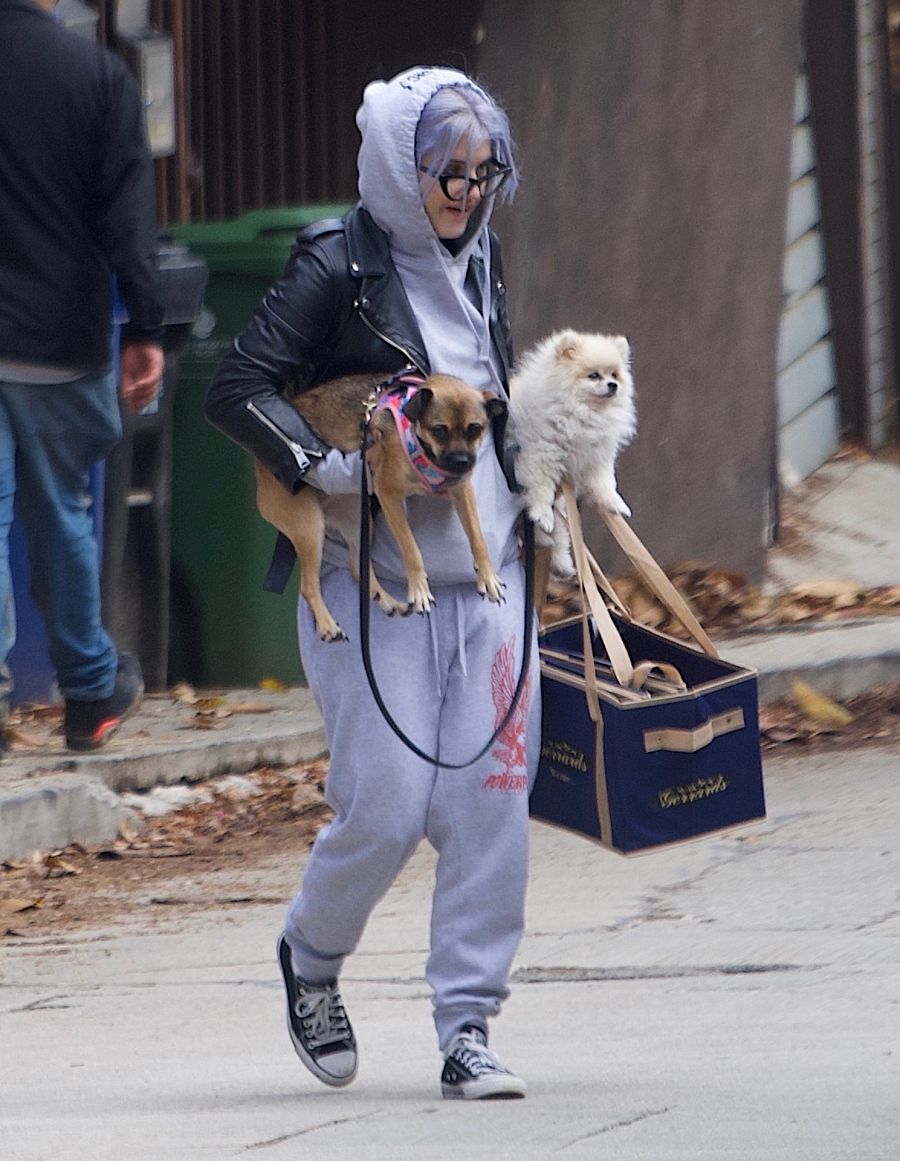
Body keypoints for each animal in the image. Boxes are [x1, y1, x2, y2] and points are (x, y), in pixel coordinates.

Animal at [255, 371, 506, 640]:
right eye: (439, 430)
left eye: (475, 428)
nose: (461, 462)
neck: (418, 440)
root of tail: (260, 467)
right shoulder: (389, 495)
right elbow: (412, 550)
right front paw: (419, 590)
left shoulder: (462, 491)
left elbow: (478, 538)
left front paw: (488, 576)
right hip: (310, 528)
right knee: (308, 586)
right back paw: (327, 625)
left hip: (360, 522)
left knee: (357, 570)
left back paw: (388, 601)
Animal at [510, 329, 636, 573]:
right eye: (594, 375)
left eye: (614, 375)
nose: (612, 385)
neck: (582, 412)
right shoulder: (542, 453)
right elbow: (541, 488)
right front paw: (542, 514)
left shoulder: (596, 458)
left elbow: (605, 484)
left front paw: (616, 504)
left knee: (558, 533)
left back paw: (562, 564)